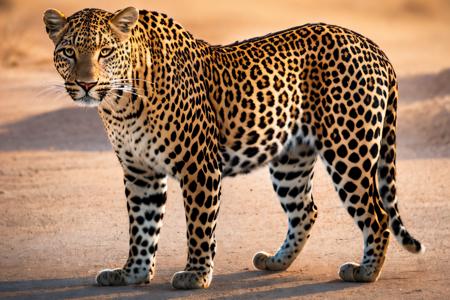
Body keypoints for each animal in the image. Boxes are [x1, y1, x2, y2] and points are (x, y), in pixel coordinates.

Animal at [44, 5, 424, 290]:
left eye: (105, 52)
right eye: (68, 52)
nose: (86, 84)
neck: (121, 103)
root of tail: (371, 45)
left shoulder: (198, 165)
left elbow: (198, 225)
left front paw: (196, 274)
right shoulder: (140, 173)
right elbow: (142, 226)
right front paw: (133, 273)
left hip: (349, 149)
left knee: (378, 214)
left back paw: (365, 272)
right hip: (291, 160)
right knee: (306, 210)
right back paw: (275, 262)